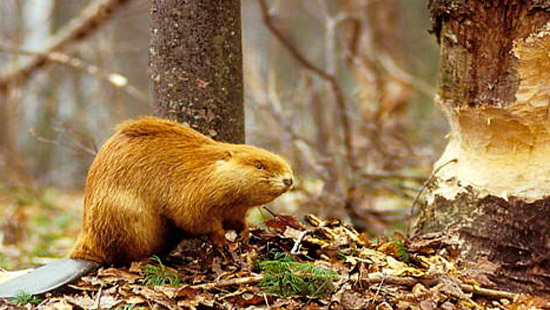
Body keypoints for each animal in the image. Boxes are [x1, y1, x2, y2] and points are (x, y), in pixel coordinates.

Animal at [0, 117, 294, 298]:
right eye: (259, 165)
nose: (289, 179)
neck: (208, 168)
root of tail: (82, 255)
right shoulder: (193, 193)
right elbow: (198, 219)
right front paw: (221, 242)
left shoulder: (234, 207)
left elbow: (237, 220)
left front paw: (244, 235)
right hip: (127, 219)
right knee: (130, 258)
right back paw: (165, 267)